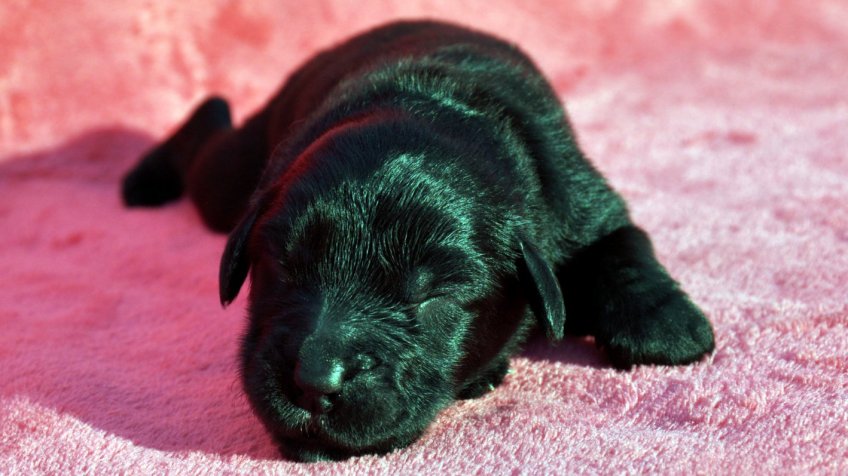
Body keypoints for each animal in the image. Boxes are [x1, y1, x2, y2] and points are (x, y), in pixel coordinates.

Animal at [122, 20, 715, 461]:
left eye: (432, 296)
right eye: (284, 267)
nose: (314, 381)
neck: (432, 101)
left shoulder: (578, 197)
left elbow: (621, 244)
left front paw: (667, 327)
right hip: (237, 176)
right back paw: (145, 177)